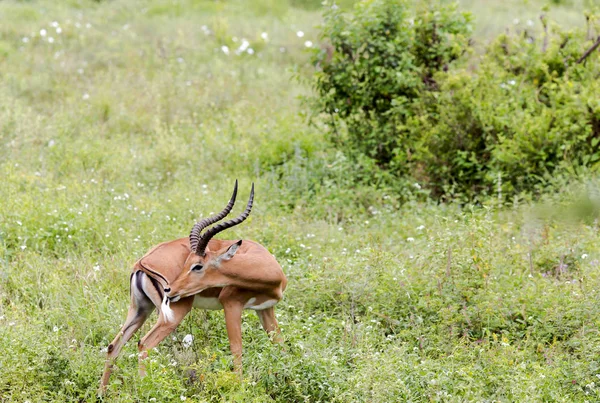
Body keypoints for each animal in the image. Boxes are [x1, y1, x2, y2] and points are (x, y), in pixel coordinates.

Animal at [99, 182, 288, 394]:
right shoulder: (231, 304)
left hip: (140, 309)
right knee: (144, 344)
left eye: (197, 265)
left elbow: (280, 345)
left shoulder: (266, 308)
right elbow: (237, 348)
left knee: (113, 346)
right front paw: (239, 389)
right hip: (172, 314)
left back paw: (101, 394)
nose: (170, 290)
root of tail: (141, 263)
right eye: (187, 261)